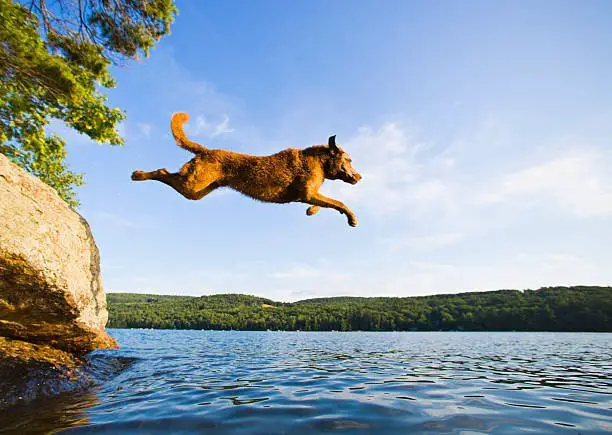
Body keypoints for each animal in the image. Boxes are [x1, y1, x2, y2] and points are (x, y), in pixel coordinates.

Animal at [131, 112, 360, 227]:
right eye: (349, 160)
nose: (359, 176)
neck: (319, 162)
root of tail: (206, 151)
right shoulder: (308, 194)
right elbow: (339, 202)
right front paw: (351, 218)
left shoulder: (309, 195)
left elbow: (327, 204)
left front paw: (311, 211)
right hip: (192, 185)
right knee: (162, 172)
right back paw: (138, 175)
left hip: (198, 191)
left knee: (166, 174)